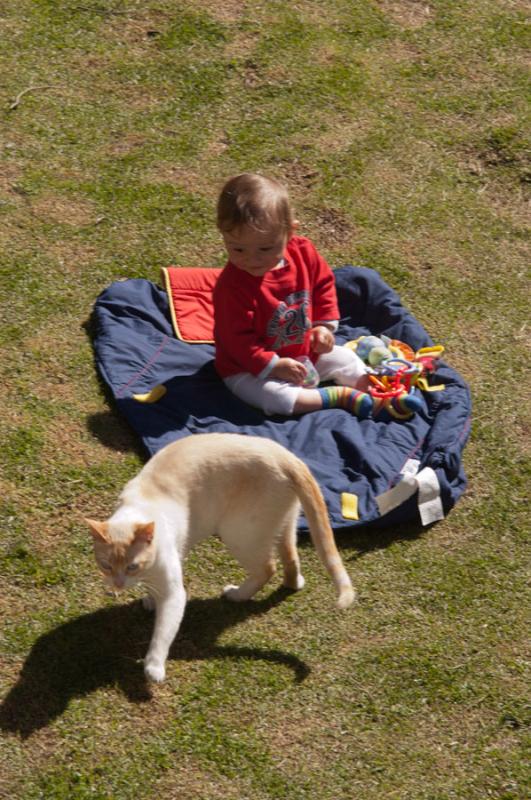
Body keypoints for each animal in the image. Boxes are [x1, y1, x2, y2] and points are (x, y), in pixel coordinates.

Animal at [85, 432, 356, 680]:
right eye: (106, 566)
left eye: (132, 566)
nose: (118, 585)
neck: (138, 510)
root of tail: (288, 457)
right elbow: (152, 592)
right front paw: (150, 600)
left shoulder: (174, 593)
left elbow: (162, 634)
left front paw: (153, 669)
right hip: (283, 526)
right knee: (290, 561)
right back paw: (292, 584)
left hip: (237, 533)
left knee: (267, 568)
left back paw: (236, 595)